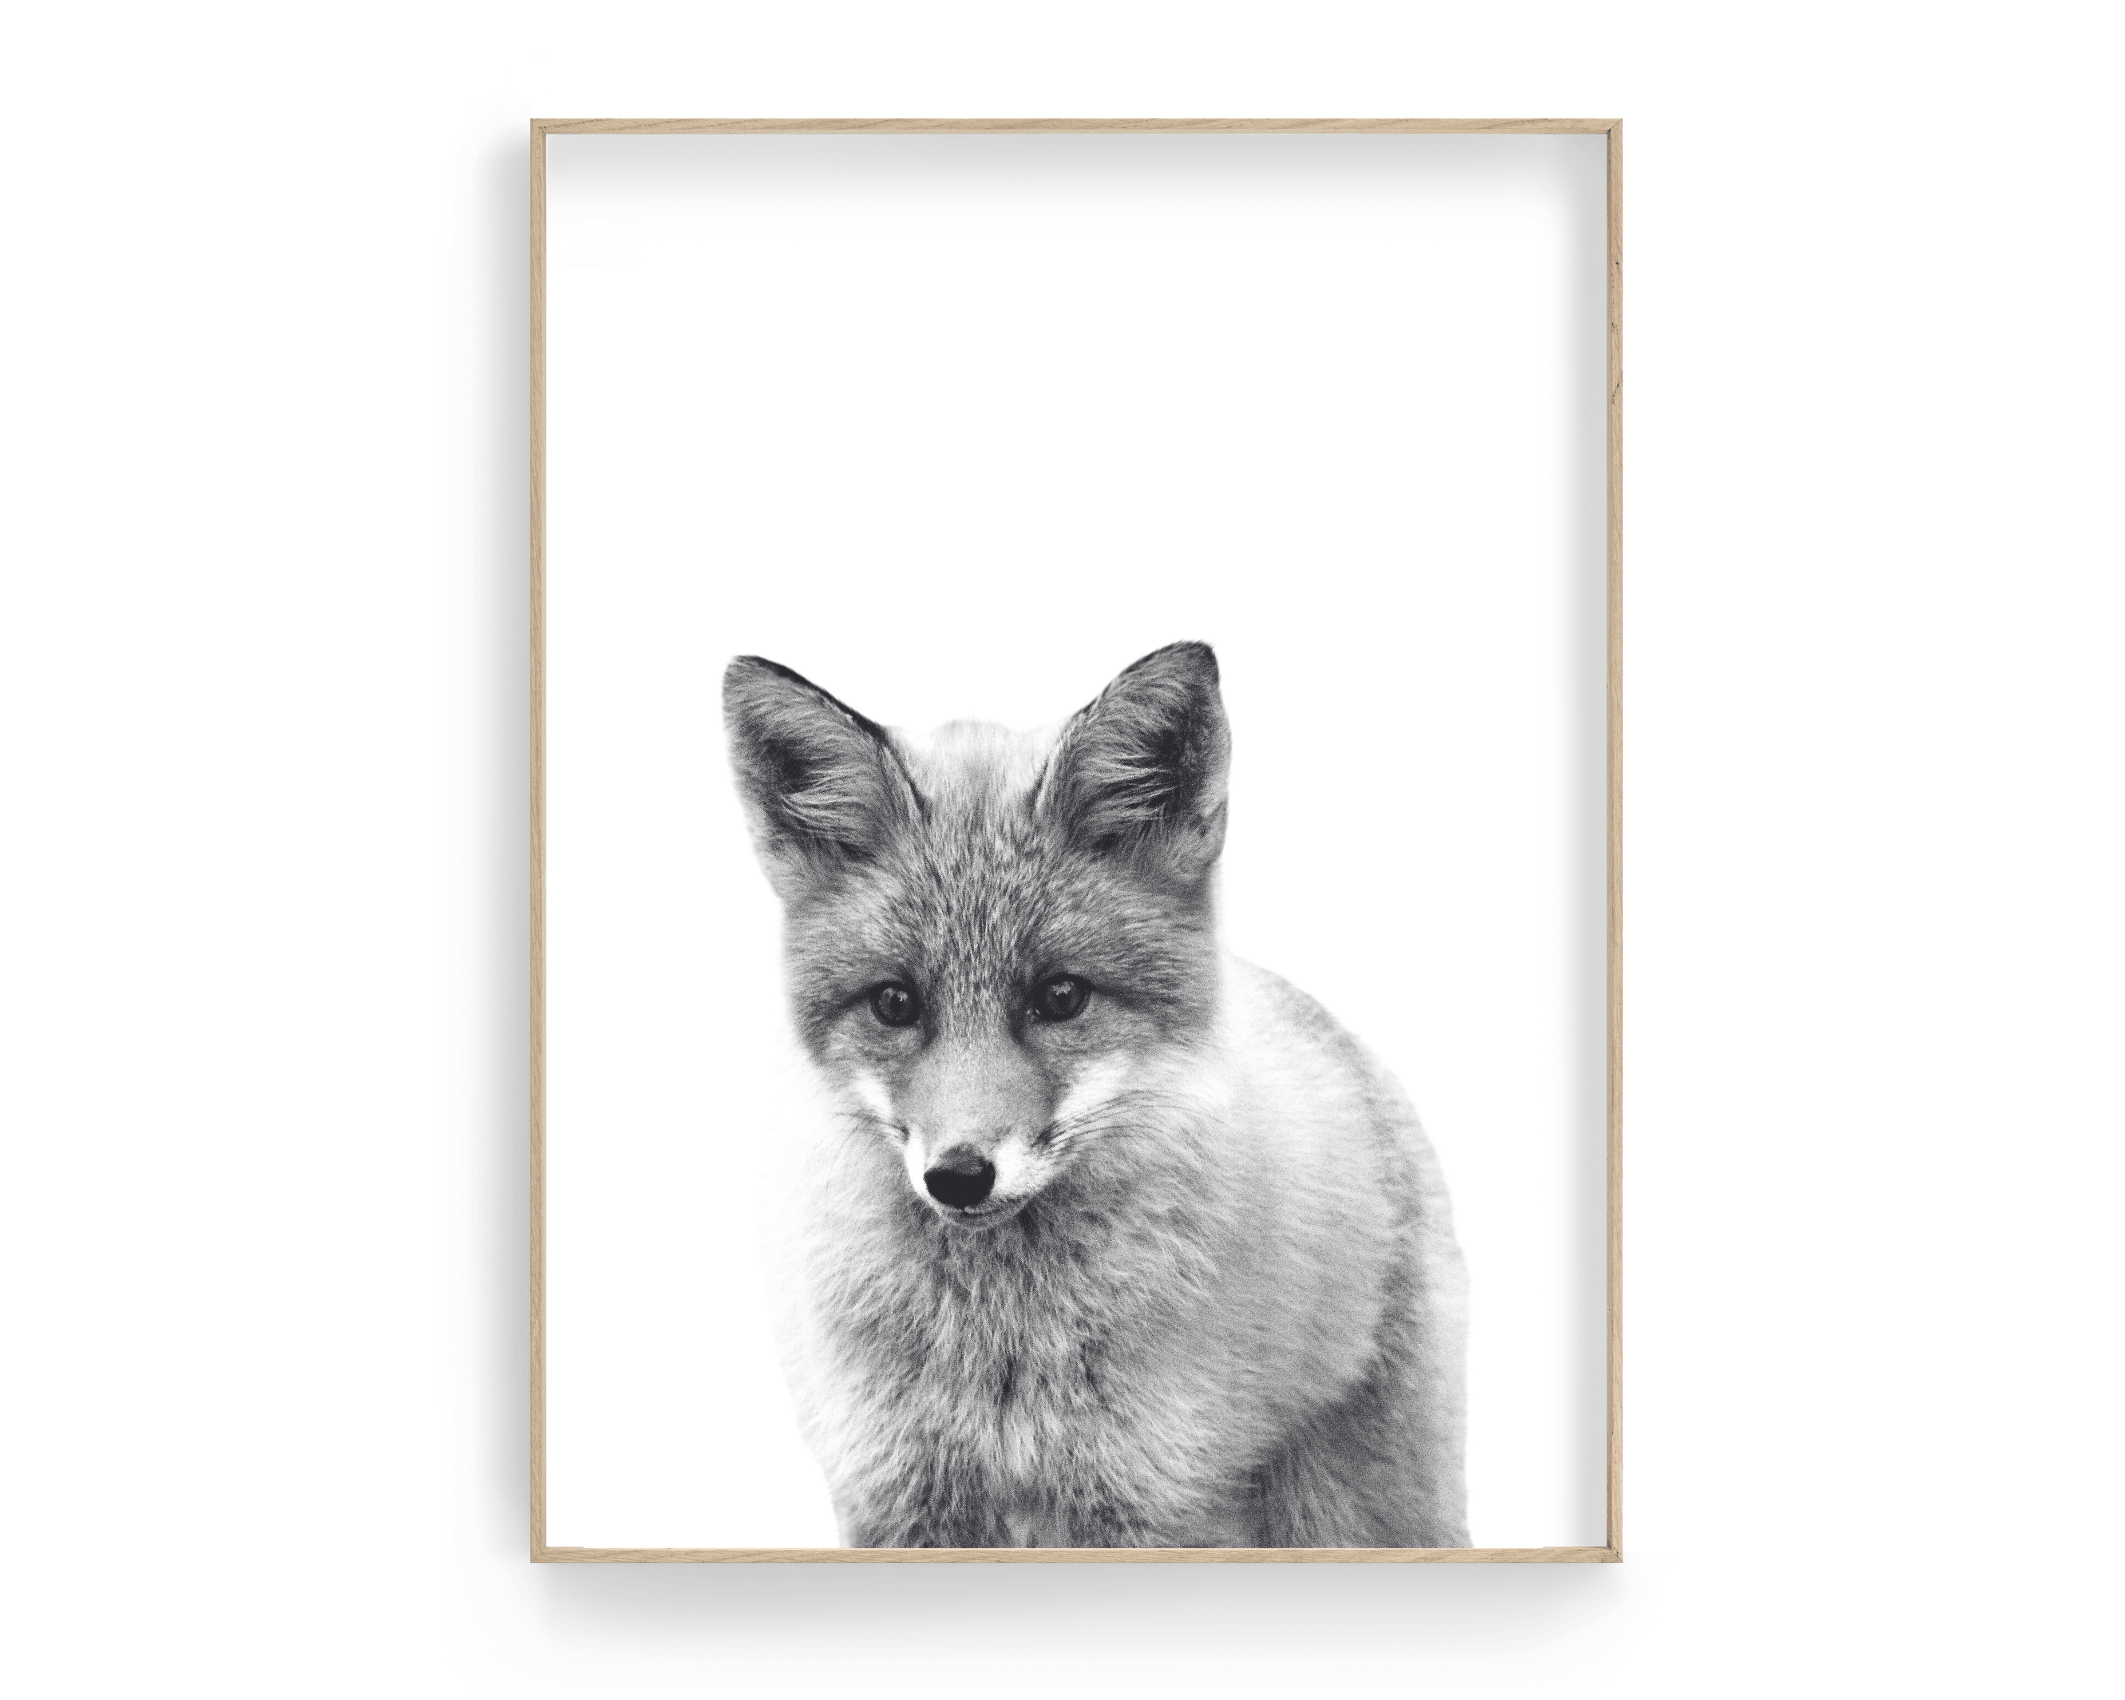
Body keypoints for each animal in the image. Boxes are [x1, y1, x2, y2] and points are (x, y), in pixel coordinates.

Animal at [723, 640, 1468, 1549]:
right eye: (895, 1003)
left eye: (1060, 996)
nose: (959, 1176)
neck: (1000, 1344)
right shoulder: (898, 1499)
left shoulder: (1160, 1501)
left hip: (1361, 1510)